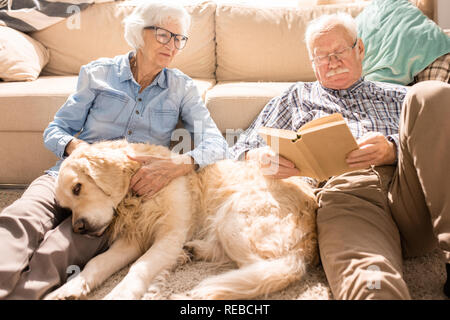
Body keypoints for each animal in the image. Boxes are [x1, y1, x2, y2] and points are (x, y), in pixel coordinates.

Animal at [44, 140, 316, 300]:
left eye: (78, 188)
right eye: (66, 207)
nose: (79, 228)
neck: (135, 199)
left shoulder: (170, 235)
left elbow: (138, 267)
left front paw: (118, 294)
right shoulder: (132, 240)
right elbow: (97, 263)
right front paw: (69, 288)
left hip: (234, 215)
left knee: (261, 270)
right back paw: (193, 251)